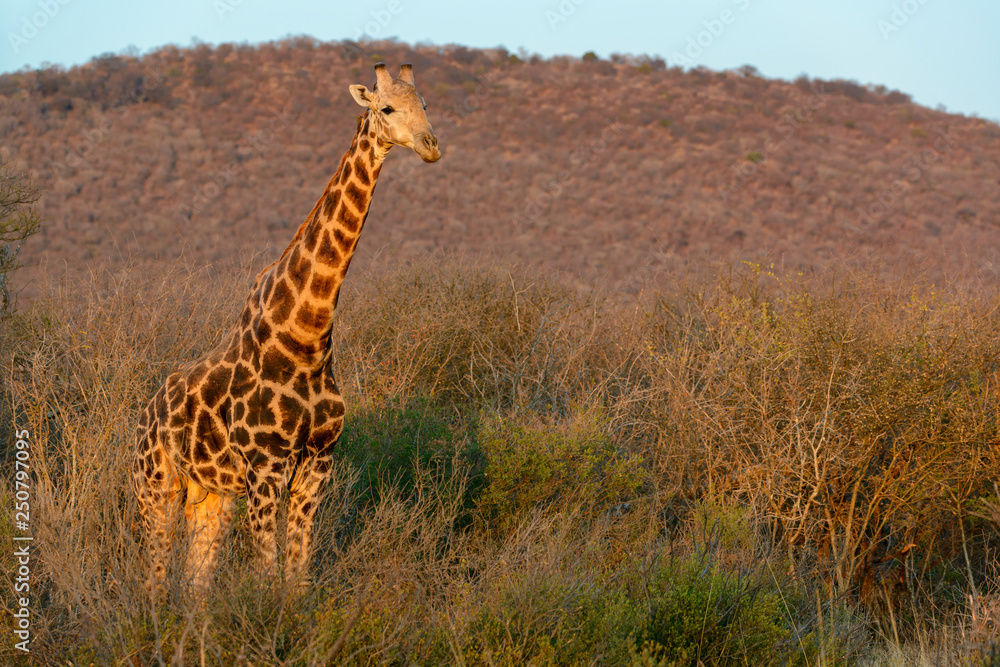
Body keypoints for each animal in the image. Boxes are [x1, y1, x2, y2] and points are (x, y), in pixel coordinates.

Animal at [132, 61, 438, 596]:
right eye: (386, 107)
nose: (430, 144)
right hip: (156, 486)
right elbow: (264, 572)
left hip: (208, 495)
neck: (307, 339)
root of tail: (142, 418)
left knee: (195, 585)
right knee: (154, 577)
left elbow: (297, 575)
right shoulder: (265, 467)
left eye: (425, 103)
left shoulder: (318, 464)